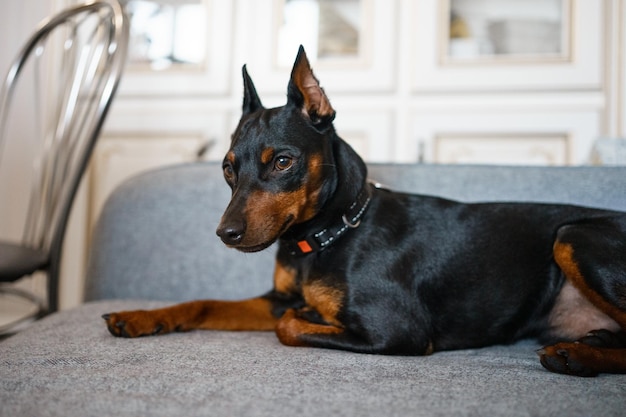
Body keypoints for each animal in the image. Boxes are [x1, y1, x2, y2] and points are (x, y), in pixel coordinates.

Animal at [102, 46, 624, 376]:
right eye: (228, 168)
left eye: (283, 162)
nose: (225, 233)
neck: (325, 235)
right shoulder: (277, 296)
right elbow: (206, 302)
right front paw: (142, 317)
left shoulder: (398, 332)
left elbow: (290, 325)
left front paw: (310, 316)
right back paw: (591, 345)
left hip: (572, 236)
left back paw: (579, 357)